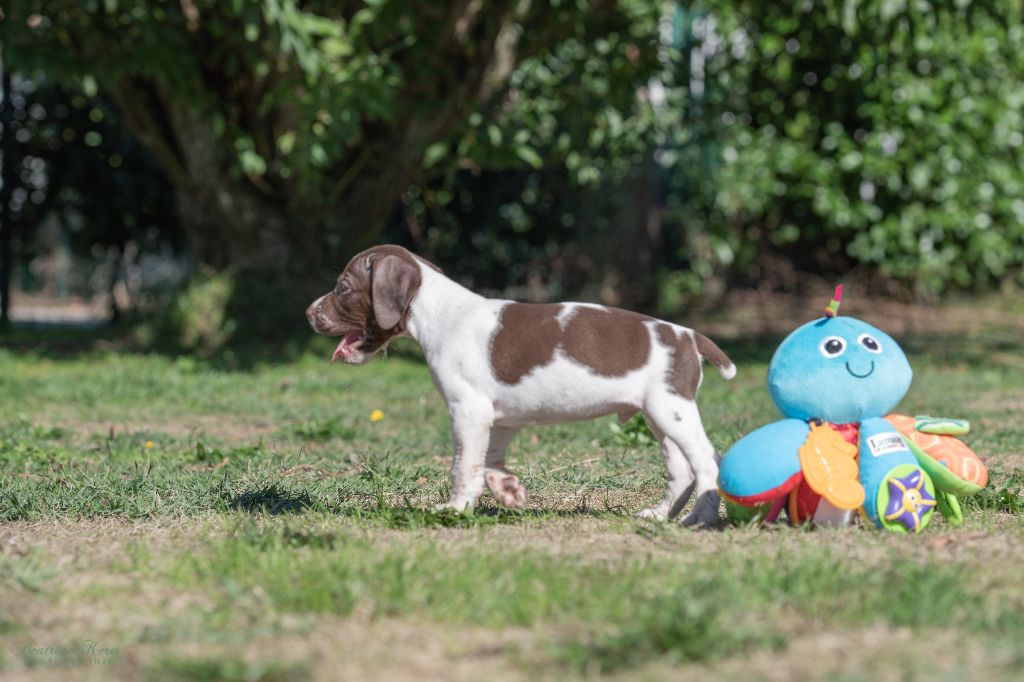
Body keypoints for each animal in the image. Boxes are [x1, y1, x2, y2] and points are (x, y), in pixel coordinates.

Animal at [305, 244, 737, 524]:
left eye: (343, 287)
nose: (309, 313)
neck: (441, 312)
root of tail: (688, 335)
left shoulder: (468, 411)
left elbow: (463, 465)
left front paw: (455, 509)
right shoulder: (499, 418)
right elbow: (488, 461)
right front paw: (507, 489)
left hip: (671, 409)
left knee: (706, 462)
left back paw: (701, 518)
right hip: (658, 414)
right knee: (682, 470)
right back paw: (661, 514)